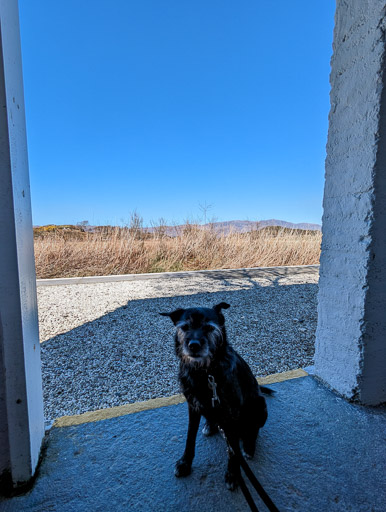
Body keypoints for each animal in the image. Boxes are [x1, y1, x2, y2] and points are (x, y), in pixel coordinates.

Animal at [160, 302, 268, 490]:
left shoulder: (232, 412)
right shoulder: (193, 405)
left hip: (260, 406)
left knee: (253, 429)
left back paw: (248, 446)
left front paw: (233, 473)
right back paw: (211, 425)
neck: (204, 373)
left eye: (209, 327)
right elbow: (190, 437)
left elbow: (233, 449)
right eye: (185, 327)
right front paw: (185, 463)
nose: (194, 345)